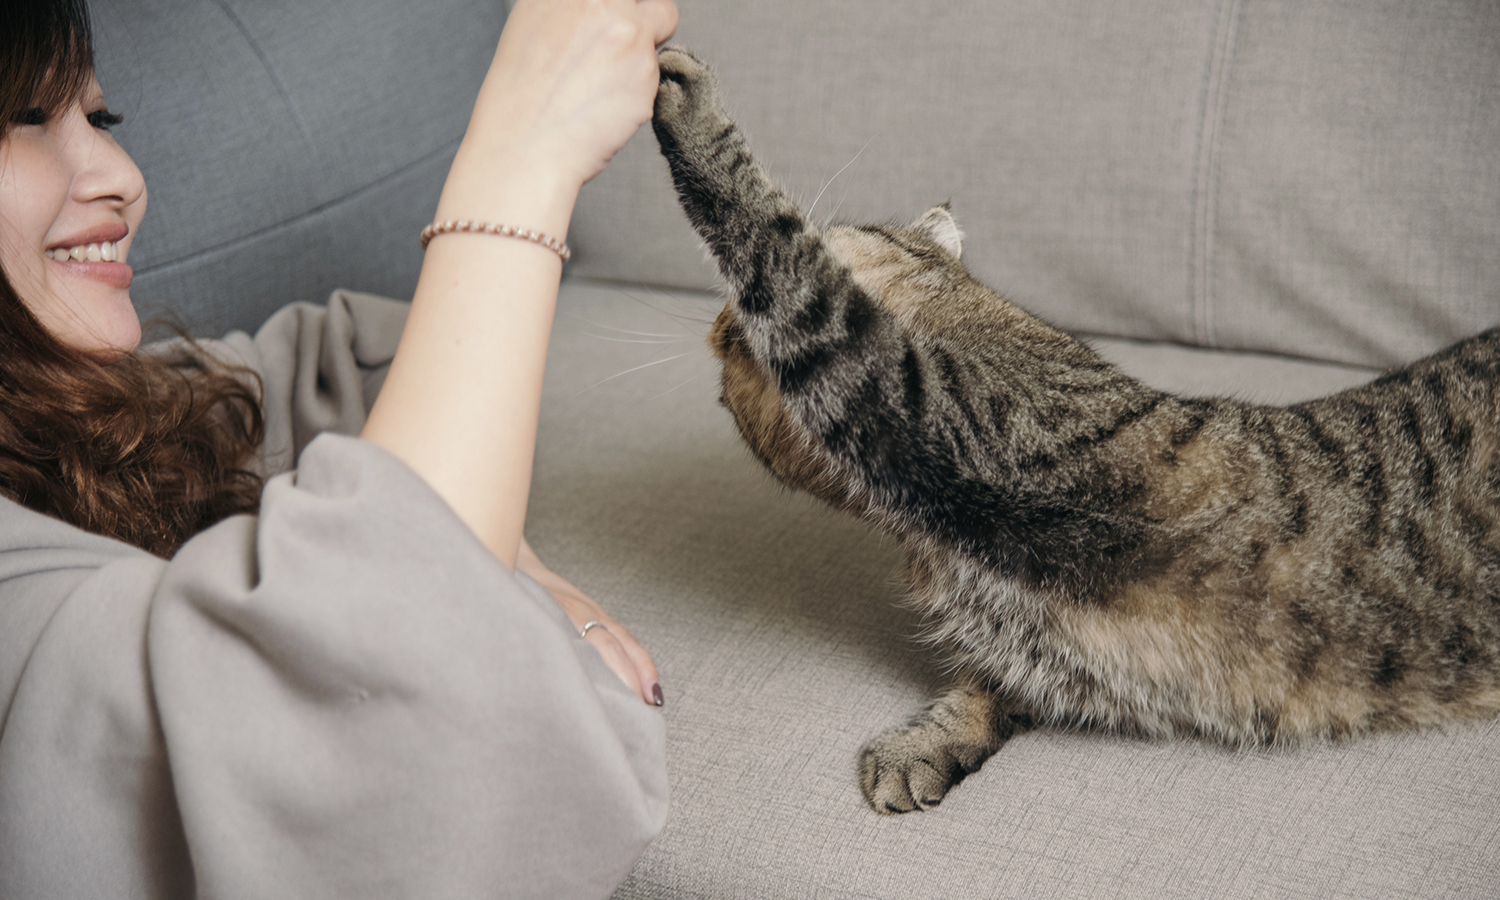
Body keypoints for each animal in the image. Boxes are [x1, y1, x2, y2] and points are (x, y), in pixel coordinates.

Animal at [650, 47, 1500, 814]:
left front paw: (690, 111)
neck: (912, 534)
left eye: (727, 348)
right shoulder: (1053, 659)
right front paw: (930, 742)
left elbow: (777, 247)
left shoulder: (915, 397)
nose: (719, 328)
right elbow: (993, 686)